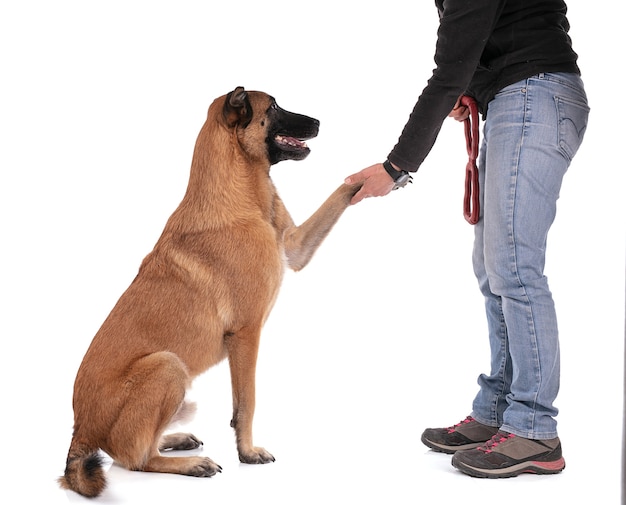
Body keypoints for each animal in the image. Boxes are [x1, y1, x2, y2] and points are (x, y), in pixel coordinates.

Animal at [59, 86, 360, 496]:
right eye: (274, 106)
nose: (317, 122)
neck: (239, 190)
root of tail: (79, 432)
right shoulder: (247, 335)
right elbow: (247, 403)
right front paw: (247, 452)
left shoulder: (296, 248)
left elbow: (339, 194)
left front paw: (379, 174)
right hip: (168, 365)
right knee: (134, 457)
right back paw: (190, 463)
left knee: (134, 447)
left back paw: (177, 440)